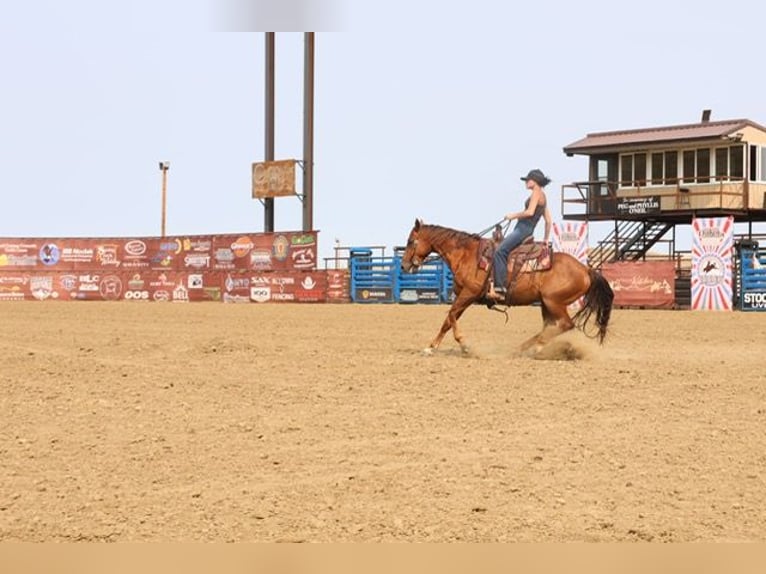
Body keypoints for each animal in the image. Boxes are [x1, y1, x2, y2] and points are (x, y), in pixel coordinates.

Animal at [399, 218, 614, 356]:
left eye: (410, 241)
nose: (404, 266)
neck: (466, 255)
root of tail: (586, 269)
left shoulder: (469, 294)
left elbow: (450, 316)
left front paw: (463, 346)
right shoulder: (463, 296)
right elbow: (448, 320)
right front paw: (432, 346)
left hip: (554, 302)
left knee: (565, 325)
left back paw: (534, 347)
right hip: (547, 303)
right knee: (551, 326)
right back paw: (526, 348)